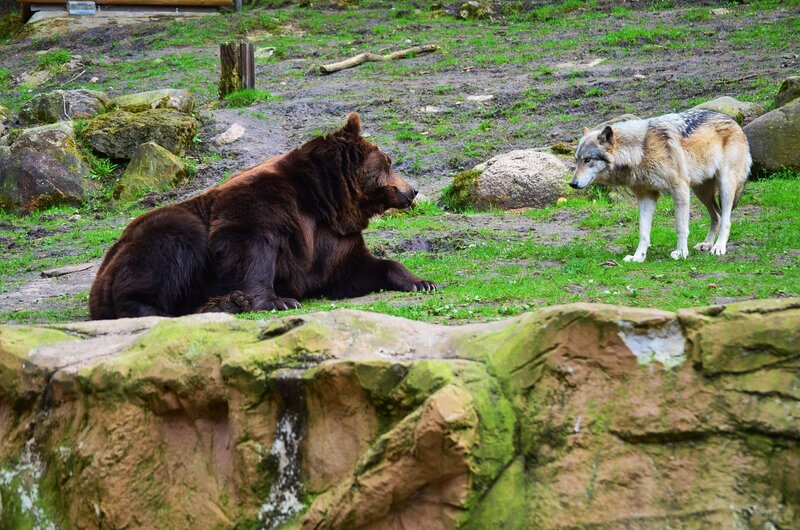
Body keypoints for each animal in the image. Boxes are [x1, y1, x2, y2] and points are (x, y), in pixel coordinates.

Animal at [89, 113, 437, 319]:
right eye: (388, 161)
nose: (413, 190)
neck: (326, 201)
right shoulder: (264, 204)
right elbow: (249, 249)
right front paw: (278, 300)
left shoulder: (334, 239)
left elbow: (357, 268)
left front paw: (421, 281)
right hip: (157, 237)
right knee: (168, 251)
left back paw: (224, 304)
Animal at [570, 109, 751, 262]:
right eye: (577, 160)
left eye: (587, 160)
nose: (572, 183)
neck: (640, 150)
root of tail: (734, 122)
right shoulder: (646, 196)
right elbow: (643, 232)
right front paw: (638, 257)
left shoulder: (679, 189)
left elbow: (681, 227)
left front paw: (681, 252)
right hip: (701, 191)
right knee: (717, 216)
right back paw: (707, 244)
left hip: (724, 185)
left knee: (726, 219)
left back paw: (718, 247)